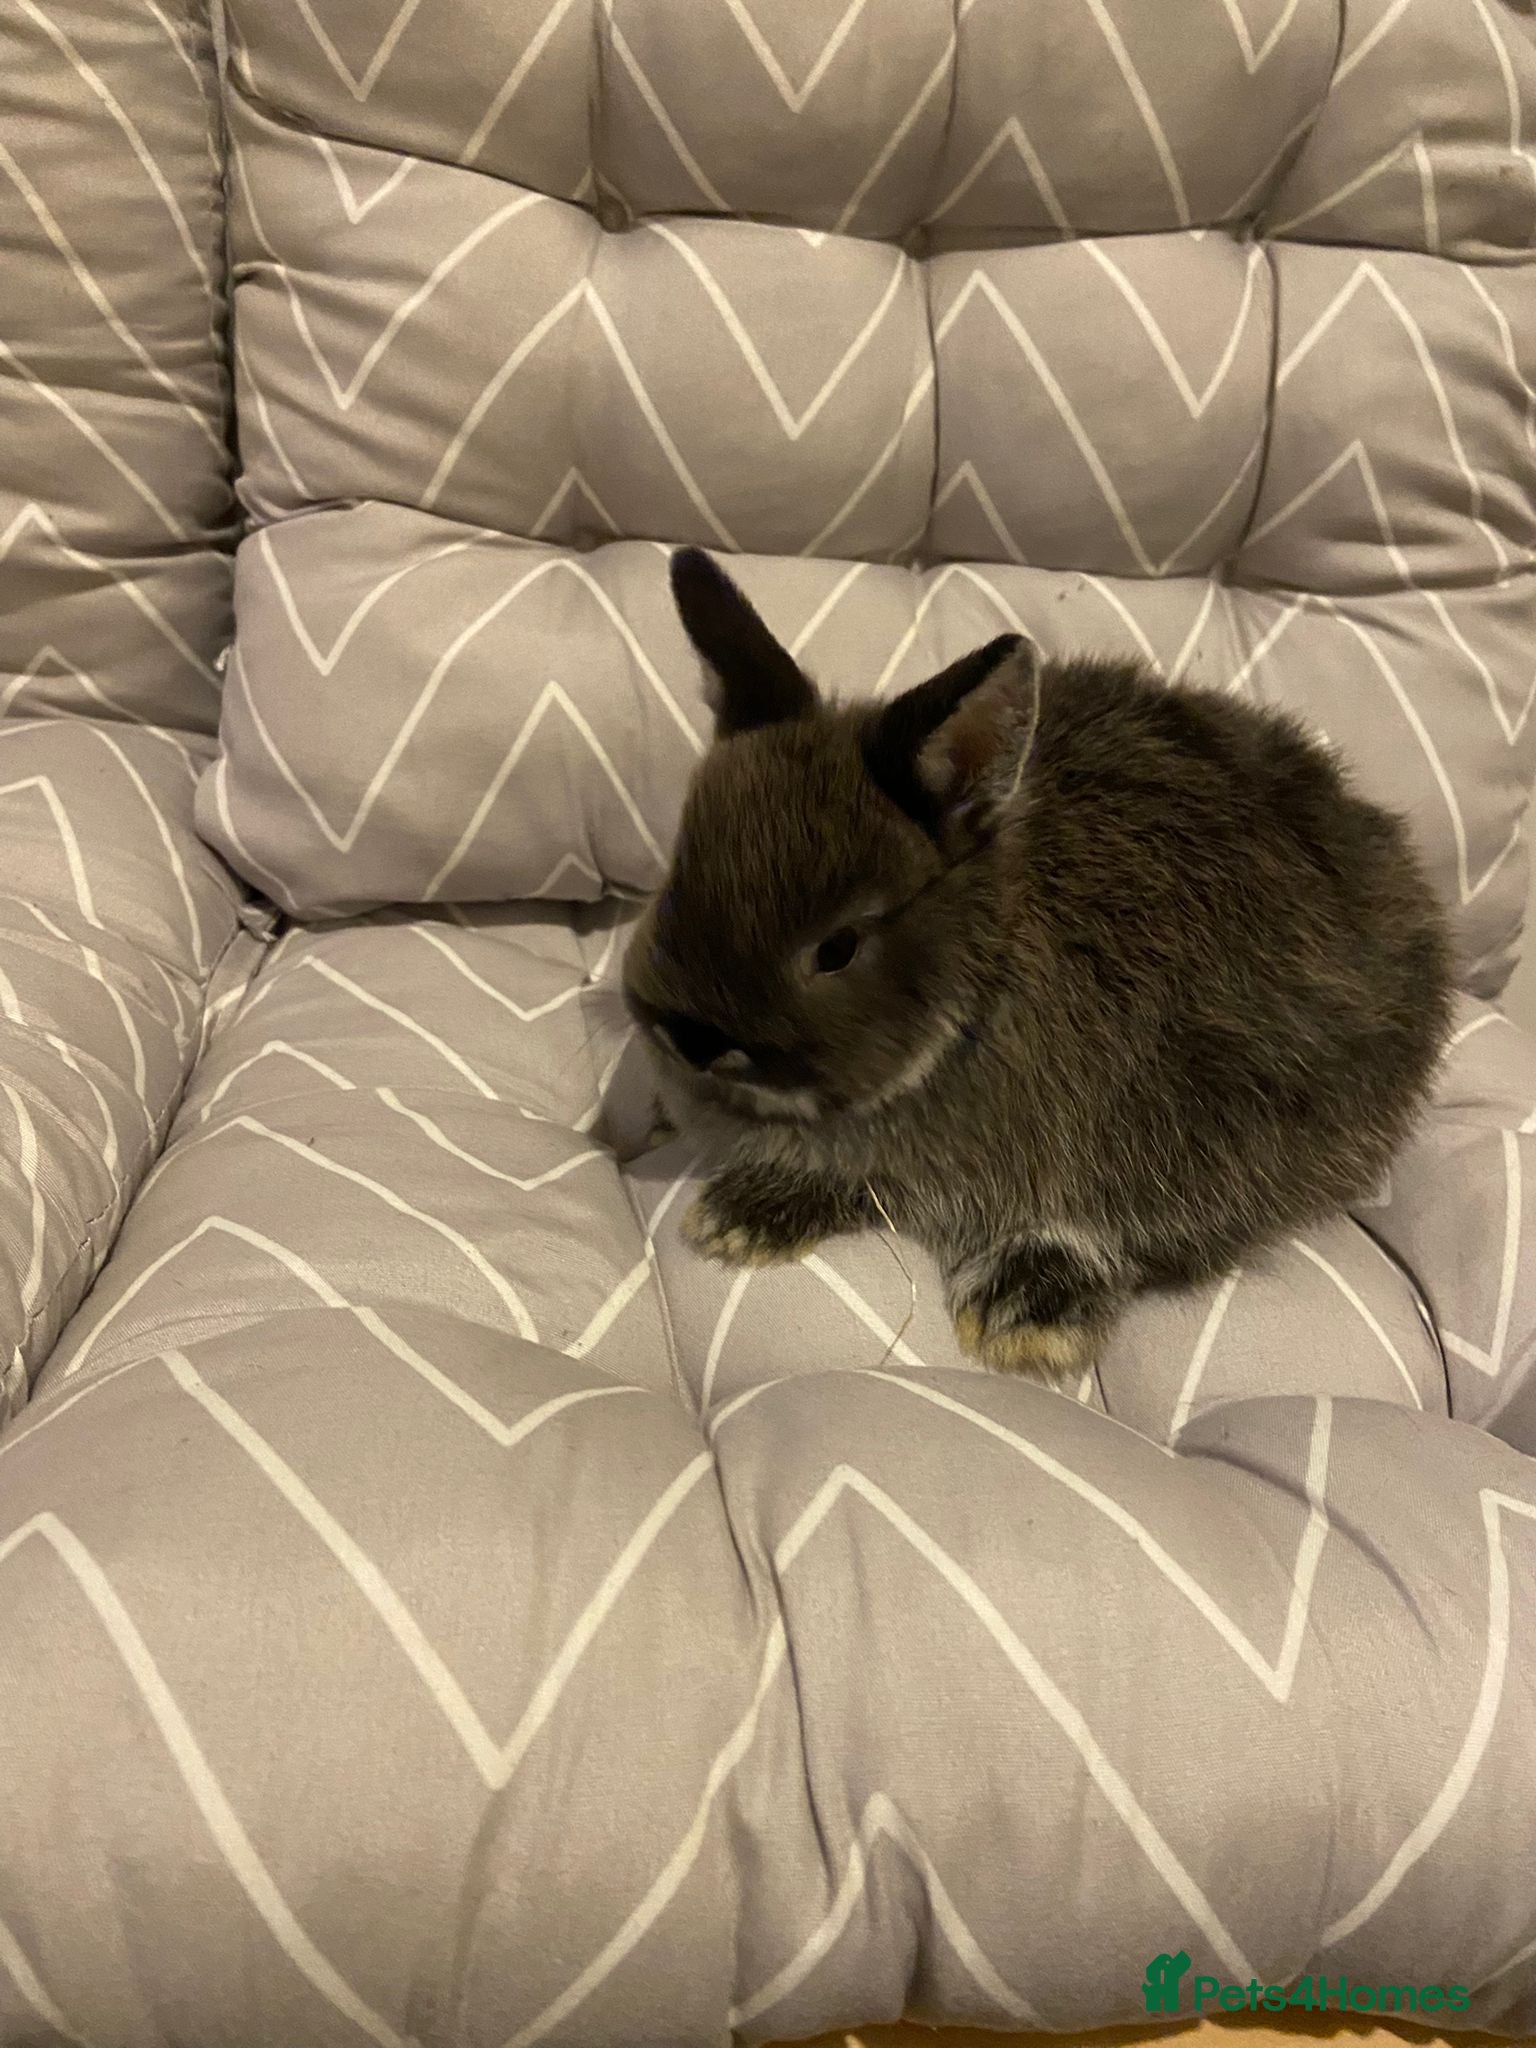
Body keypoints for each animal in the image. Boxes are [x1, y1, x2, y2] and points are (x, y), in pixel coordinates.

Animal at [622, 546, 1454, 1383]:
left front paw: (1024, 1316)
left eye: (839, 947)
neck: (984, 974)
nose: (689, 1041)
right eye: (677, 878)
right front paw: (720, 1200)